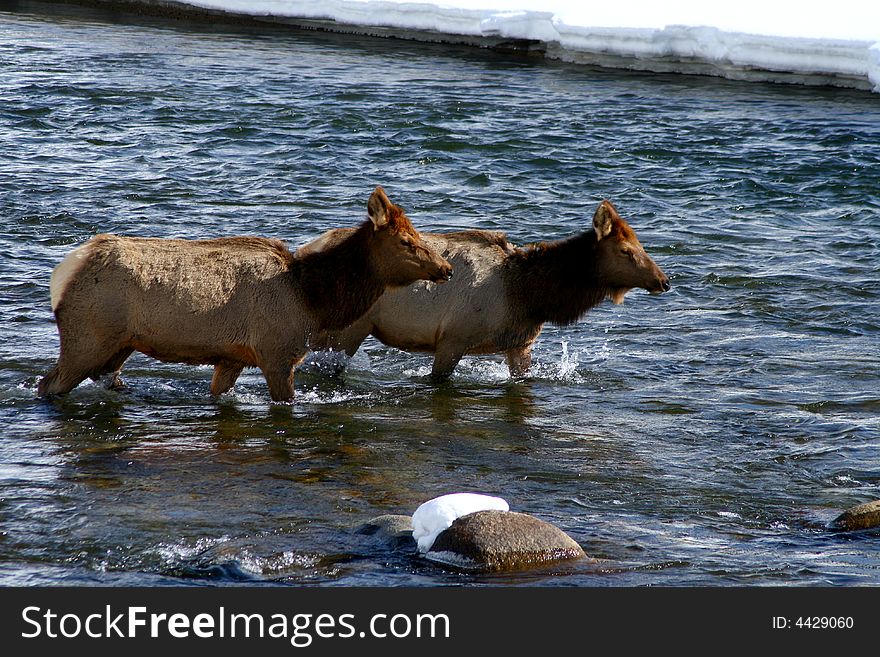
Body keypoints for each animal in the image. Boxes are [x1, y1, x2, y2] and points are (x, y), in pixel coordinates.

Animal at [39, 184, 454, 400]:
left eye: (419, 234)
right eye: (406, 241)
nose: (446, 269)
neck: (313, 299)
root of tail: (62, 273)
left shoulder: (232, 356)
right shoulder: (277, 352)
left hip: (118, 346)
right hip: (87, 337)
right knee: (48, 385)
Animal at [312, 197, 672, 376]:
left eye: (641, 244)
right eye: (625, 250)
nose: (664, 281)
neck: (528, 296)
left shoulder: (519, 344)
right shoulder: (453, 338)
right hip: (350, 327)